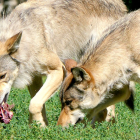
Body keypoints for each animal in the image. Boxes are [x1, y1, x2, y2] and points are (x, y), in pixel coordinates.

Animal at [0, 0, 128, 127]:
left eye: (2, 76)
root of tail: (120, 4)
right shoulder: (34, 78)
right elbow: (38, 104)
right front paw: (39, 127)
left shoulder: (58, 70)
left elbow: (34, 104)